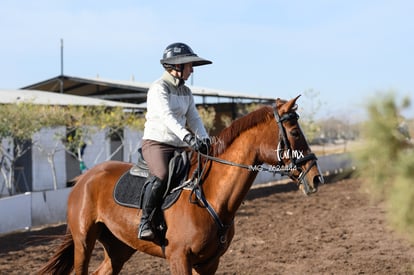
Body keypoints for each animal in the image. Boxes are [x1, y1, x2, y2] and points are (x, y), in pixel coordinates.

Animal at [38, 96, 324, 274]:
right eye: (295, 132)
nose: (316, 178)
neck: (212, 196)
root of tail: (84, 180)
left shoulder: (209, 264)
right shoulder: (179, 258)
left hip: (119, 247)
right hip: (84, 241)